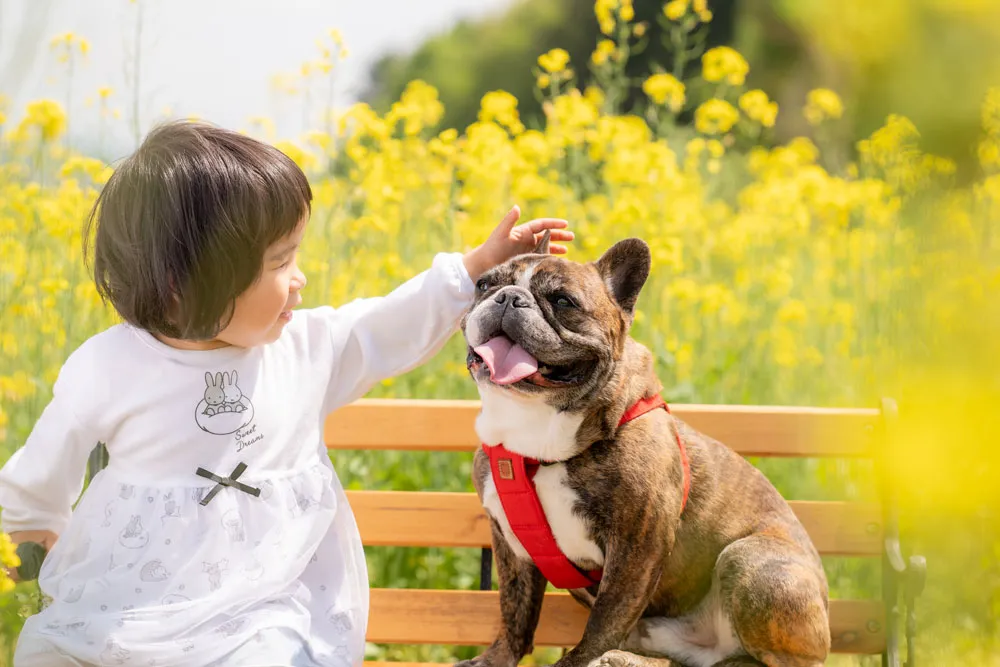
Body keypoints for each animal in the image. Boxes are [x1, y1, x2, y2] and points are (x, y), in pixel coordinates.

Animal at [454, 235, 828, 667]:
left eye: (563, 301)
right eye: (484, 284)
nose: (508, 298)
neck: (534, 425)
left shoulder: (638, 544)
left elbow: (604, 620)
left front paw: (577, 661)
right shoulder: (510, 544)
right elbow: (515, 611)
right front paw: (495, 658)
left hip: (751, 561)